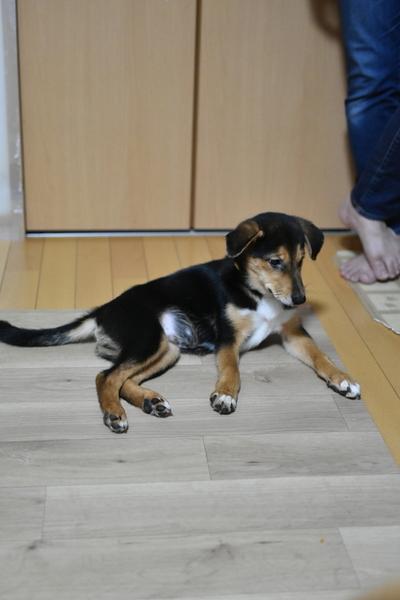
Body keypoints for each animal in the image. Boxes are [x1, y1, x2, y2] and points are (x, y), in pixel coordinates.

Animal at [0, 212, 360, 433]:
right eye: (275, 262)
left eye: (301, 261)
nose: (299, 300)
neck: (259, 293)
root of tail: (103, 309)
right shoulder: (229, 338)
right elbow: (232, 369)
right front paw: (225, 395)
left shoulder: (293, 333)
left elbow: (320, 356)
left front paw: (343, 379)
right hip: (148, 336)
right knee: (106, 376)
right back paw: (114, 414)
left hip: (165, 348)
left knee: (122, 378)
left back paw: (151, 401)